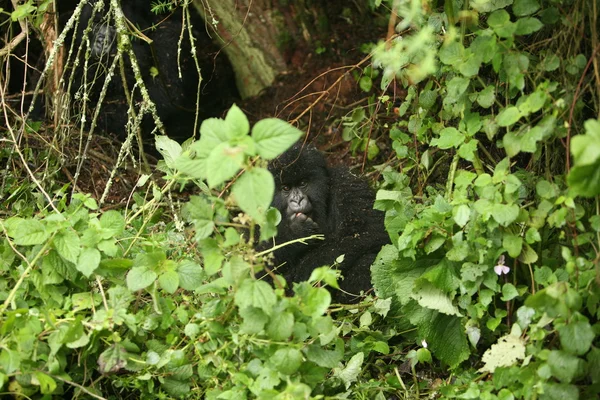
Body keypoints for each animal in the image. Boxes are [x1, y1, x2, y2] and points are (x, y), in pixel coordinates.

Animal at [264, 142, 390, 302]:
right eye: (286, 188)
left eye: (303, 183)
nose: (298, 200)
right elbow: (261, 272)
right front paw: (296, 232)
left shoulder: (347, 183)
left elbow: (367, 233)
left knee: (368, 260)